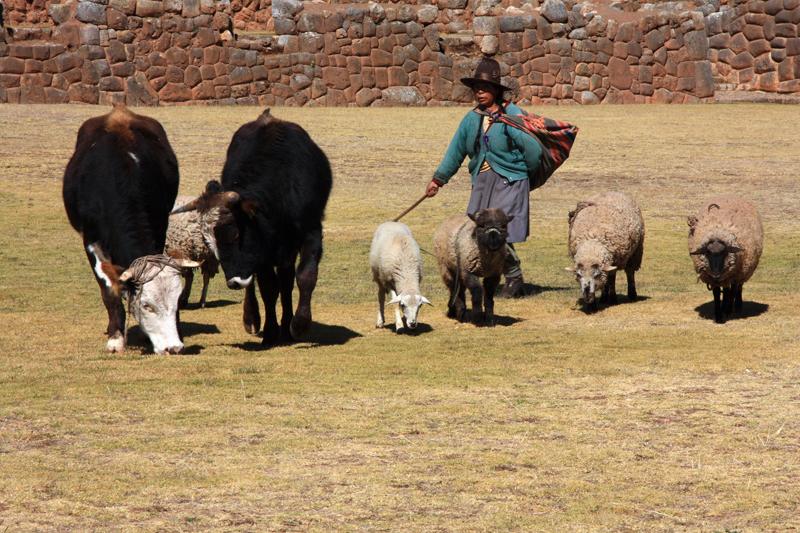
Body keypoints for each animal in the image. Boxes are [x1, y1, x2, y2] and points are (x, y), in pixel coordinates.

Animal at [174, 110, 332, 348]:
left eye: (234, 233)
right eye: (210, 243)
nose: (233, 282)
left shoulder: (310, 232)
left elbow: (305, 276)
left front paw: (299, 325)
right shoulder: (262, 250)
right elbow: (268, 288)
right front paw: (270, 332)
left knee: (286, 280)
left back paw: (287, 325)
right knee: (257, 286)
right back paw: (253, 319)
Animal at [688, 193, 764, 322]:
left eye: (725, 253)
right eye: (707, 253)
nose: (716, 274)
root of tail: (732, 195)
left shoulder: (734, 273)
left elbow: (732, 291)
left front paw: (728, 311)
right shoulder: (712, 278)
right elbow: (717, 294)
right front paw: (718, 315)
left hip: (742, 271)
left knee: (738, 288)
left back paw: (736, 307)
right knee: (727, 290)